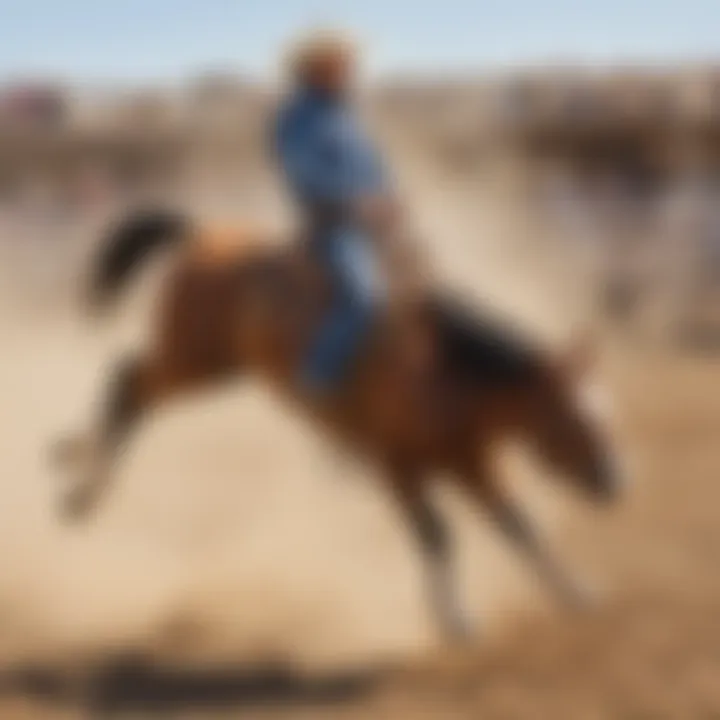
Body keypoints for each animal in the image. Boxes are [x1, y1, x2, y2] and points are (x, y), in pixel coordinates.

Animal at [53, 210, 624, 640]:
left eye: (604, 410)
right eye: (569, 414)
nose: (614, 480)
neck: (442, 369)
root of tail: (204, 232)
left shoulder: (471, 464)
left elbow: (521, 527)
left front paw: (577, 594)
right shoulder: (396, 465)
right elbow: (436, 534)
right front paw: (456, 620)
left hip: (215, 366)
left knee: (131, 388)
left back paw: (72, 468)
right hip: (194, 362)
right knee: (128, 383)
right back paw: (80, 492)